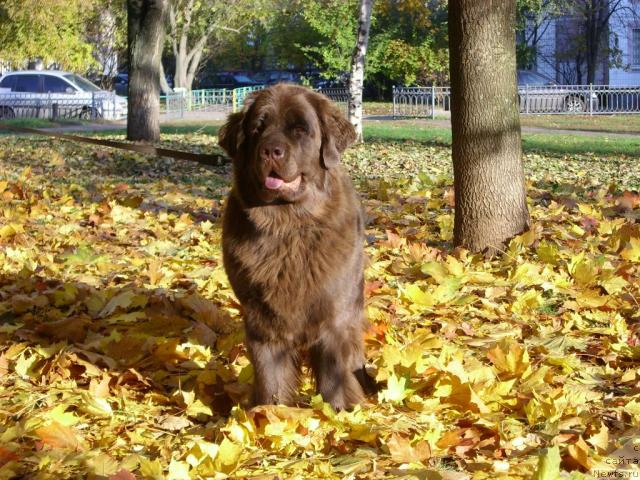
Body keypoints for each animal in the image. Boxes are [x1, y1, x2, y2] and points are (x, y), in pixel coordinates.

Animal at [219, 83, 376, 408]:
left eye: (300, 130)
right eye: (257, 128)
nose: (270, 150)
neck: (290, 229)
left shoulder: (334, 317)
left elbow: (334, 374)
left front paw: (341, 412)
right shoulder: (261, 320)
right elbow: (271, 377)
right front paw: (268, 415)